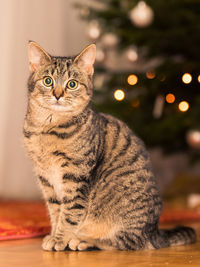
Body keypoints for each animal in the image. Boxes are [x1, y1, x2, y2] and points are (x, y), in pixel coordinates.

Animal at [23, 40, 195, 252]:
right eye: (48, 81)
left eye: (72, 84)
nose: (57, 95)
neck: (47, 127)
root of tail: (156, 231)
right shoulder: (46, 179)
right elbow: (55, 211)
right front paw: (54, 235)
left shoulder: (76, 176)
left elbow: (69, 213)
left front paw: (60, 239)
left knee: (127, 242)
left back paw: (84, 240)